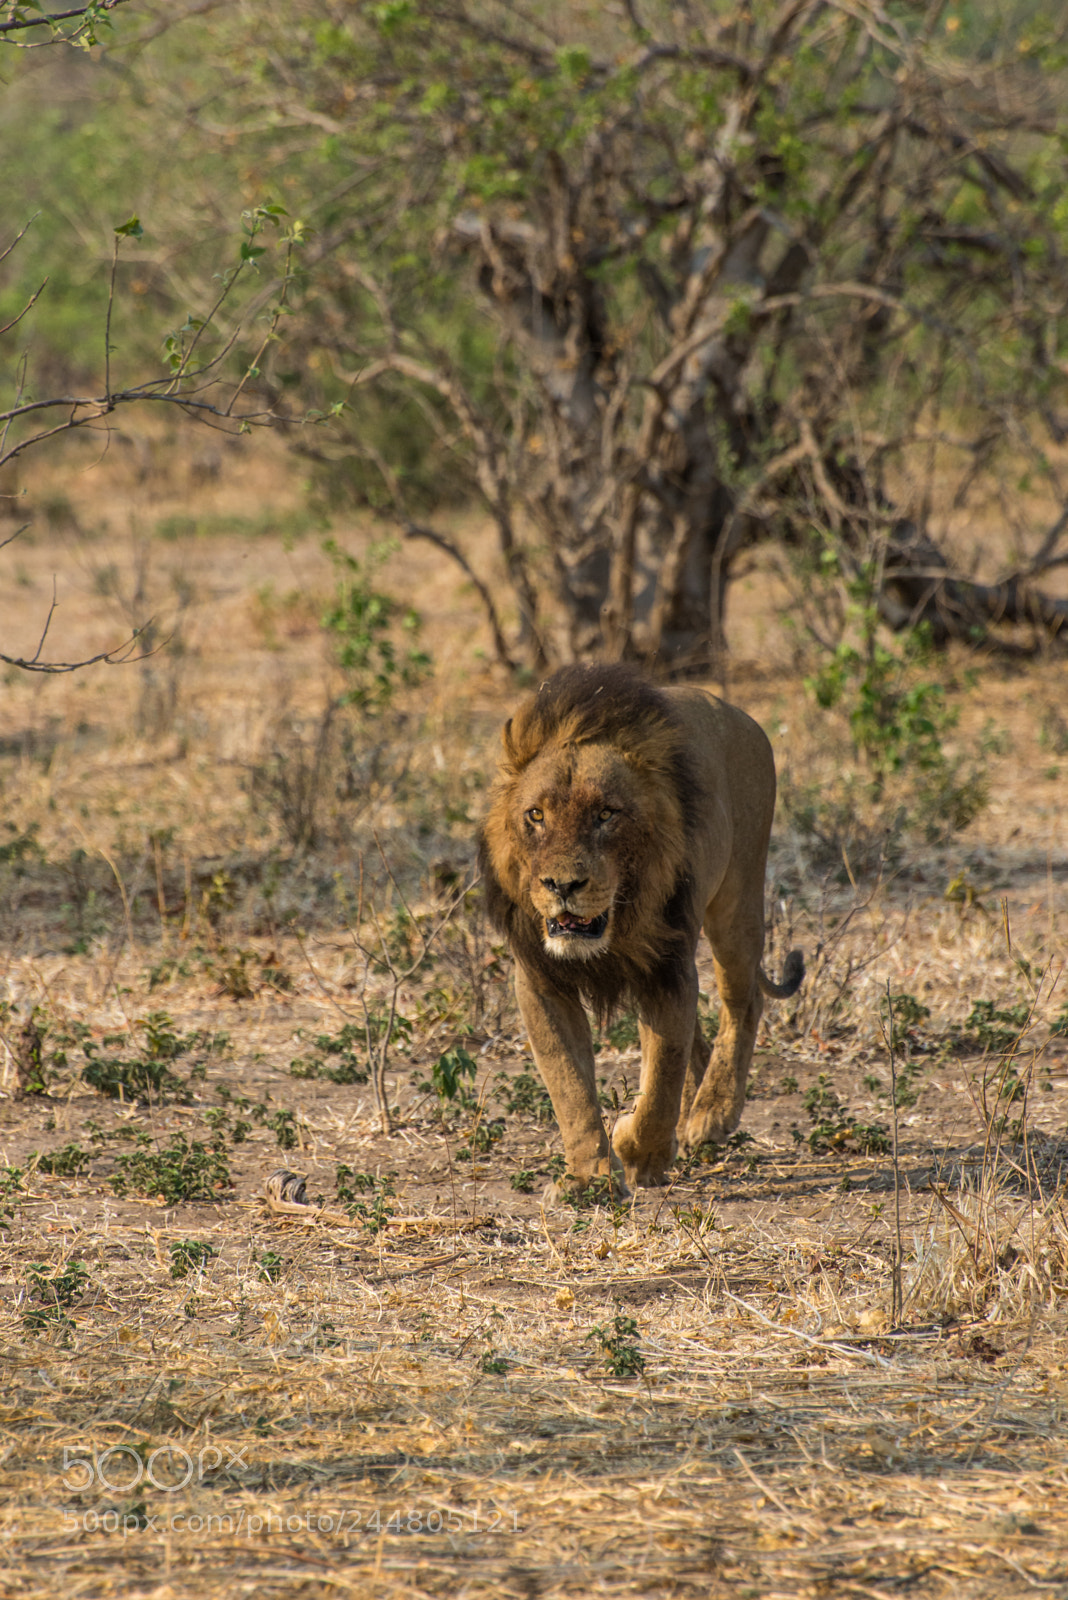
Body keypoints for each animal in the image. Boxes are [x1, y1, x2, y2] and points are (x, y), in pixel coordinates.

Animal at [478, 663, 803, 1191]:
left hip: (736, 904)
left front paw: (640, 1149)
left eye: (606, 814)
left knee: (743, 1002)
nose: (561, 885)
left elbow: (662, 1074)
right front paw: (589, 1175)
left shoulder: (667, 968)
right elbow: (569, 1082)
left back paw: (711, 1115)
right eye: (536, 815)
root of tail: (740, 715)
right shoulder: (541, 979)